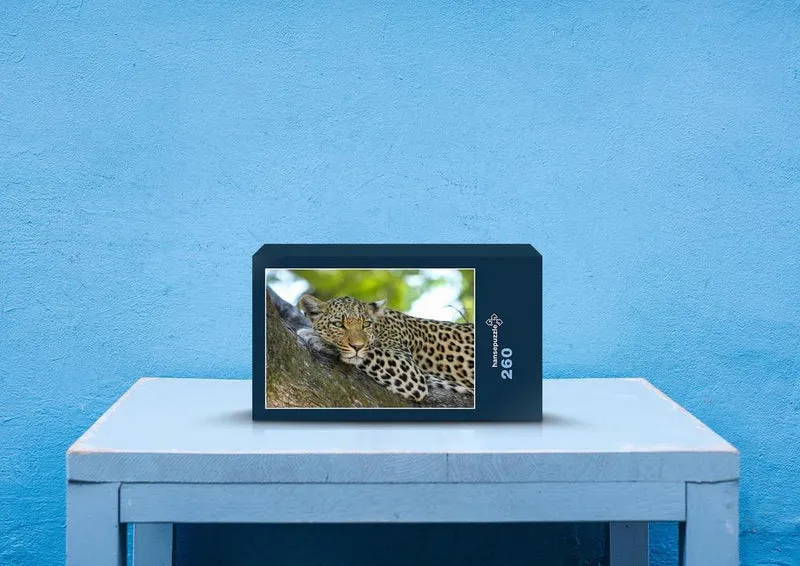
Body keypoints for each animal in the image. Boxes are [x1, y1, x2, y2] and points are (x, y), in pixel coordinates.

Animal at [298, 294, 475, 402]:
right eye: (338, 324)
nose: (357, 346)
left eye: (366, 324)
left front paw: (316, 338)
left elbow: (369, 353)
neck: (380, 327)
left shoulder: (409, 371)